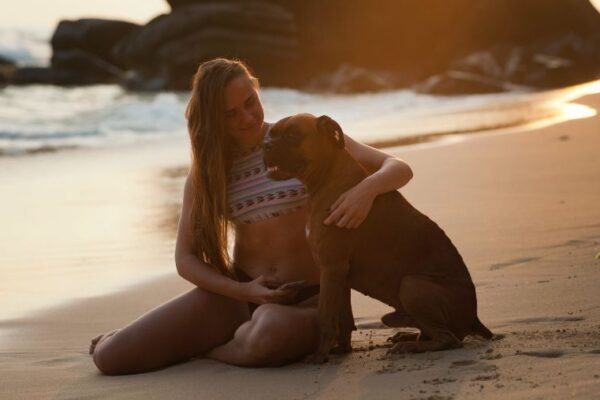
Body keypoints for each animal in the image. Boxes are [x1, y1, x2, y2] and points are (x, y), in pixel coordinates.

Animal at [264, 112, 492, 362]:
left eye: (292, 135)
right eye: (271, 133)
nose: (265, 144)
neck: (327, 179)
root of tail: (474, 317)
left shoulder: (331, 268)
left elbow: (325, 315)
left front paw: (319, 355)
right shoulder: (339, 274)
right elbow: (343, 317)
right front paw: (341, 349)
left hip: (412, 285)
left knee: (448, 338)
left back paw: (408, 345)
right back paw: (408, 334)